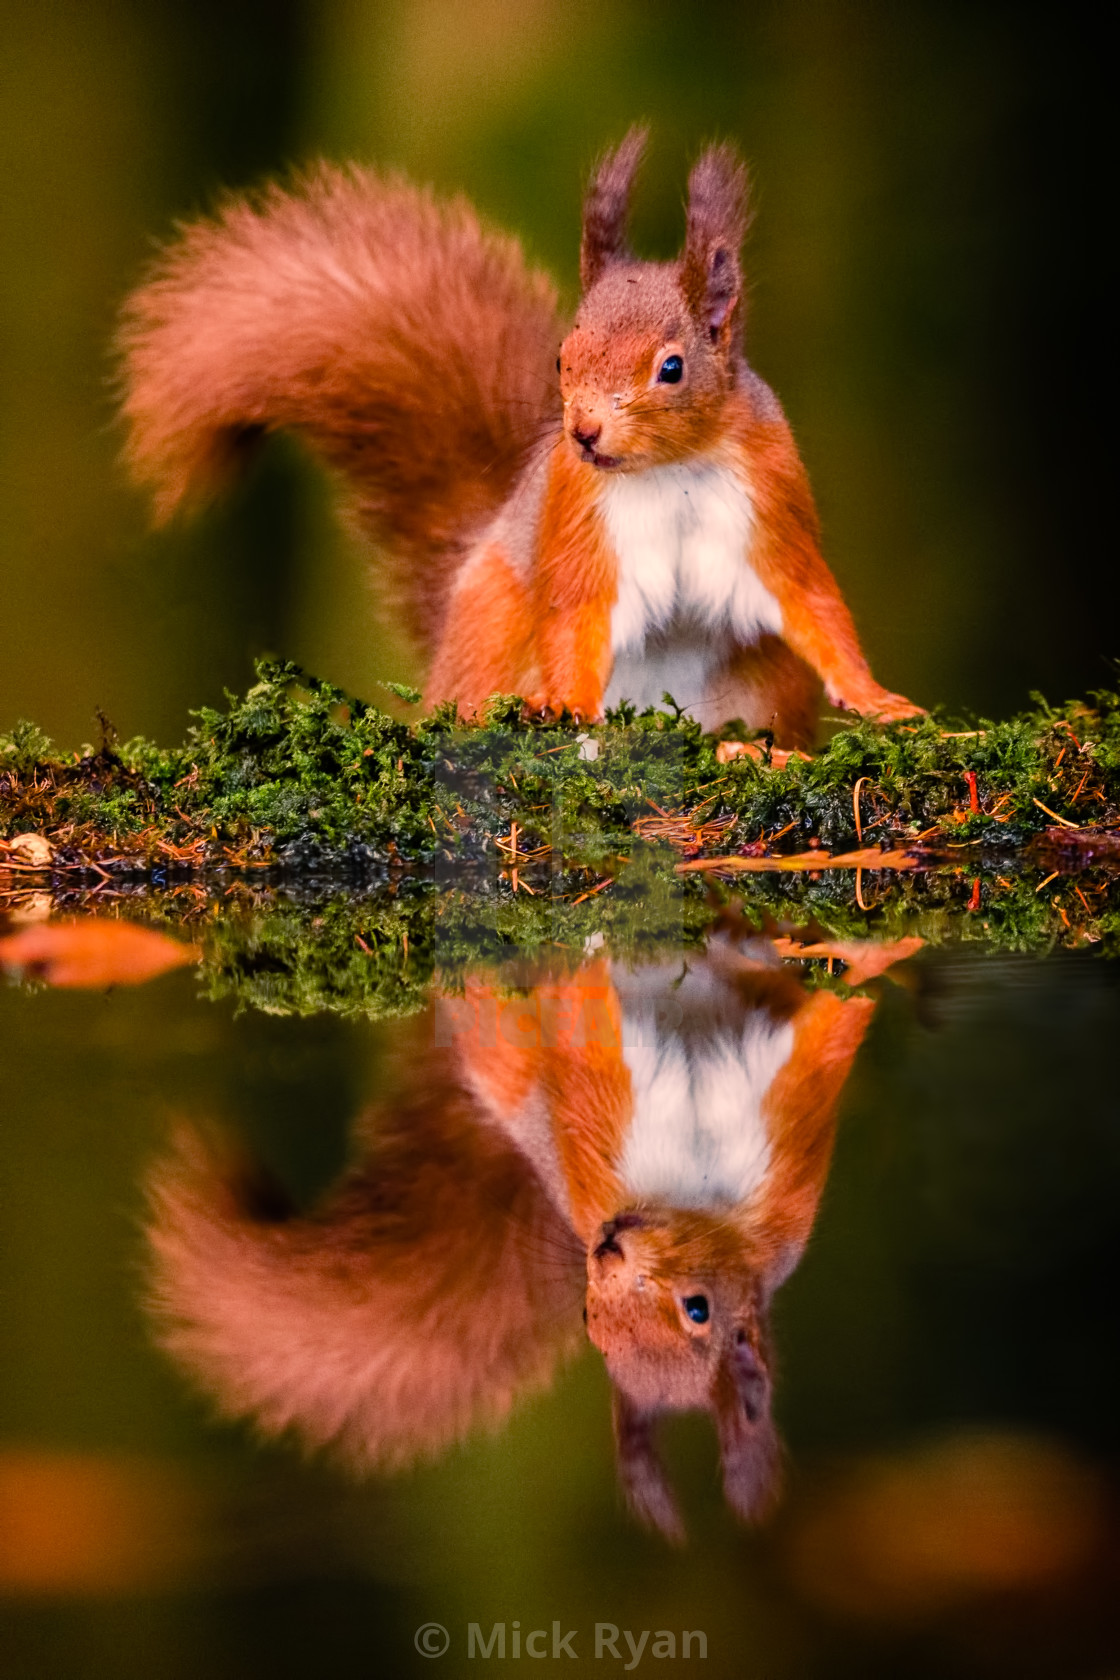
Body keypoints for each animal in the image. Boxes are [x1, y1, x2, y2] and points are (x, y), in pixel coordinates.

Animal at [122, 124, 926, 742]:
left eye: (671, 367)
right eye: (563, 359)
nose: (585, 434)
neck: (668, 469)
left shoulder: (771, 502)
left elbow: (812, 602)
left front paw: (880, 699)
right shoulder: (578, 523)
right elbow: (576, 613)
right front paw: (564, 703)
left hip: (761, 677)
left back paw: (755, 753)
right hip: (493, 617)